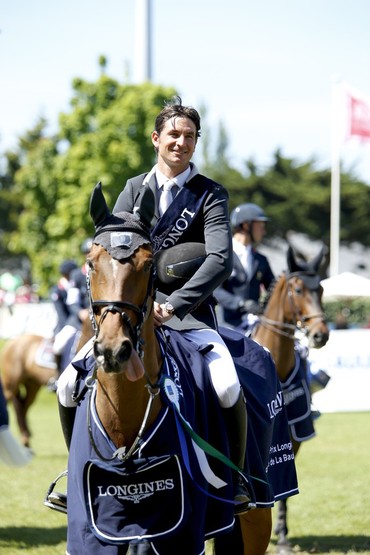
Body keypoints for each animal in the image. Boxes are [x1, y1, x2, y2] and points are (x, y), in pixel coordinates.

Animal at [59, 184, 300, 555]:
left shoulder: (179, 534)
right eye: (91, 263)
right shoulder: (94, 535)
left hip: (257, 512)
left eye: (147, 265)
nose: (114, 349)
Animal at [251, 248, 330, 552]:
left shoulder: (292, 436)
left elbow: (284, 485)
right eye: (298, 290)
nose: (321, 334)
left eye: (321, 289)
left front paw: (283, 536)